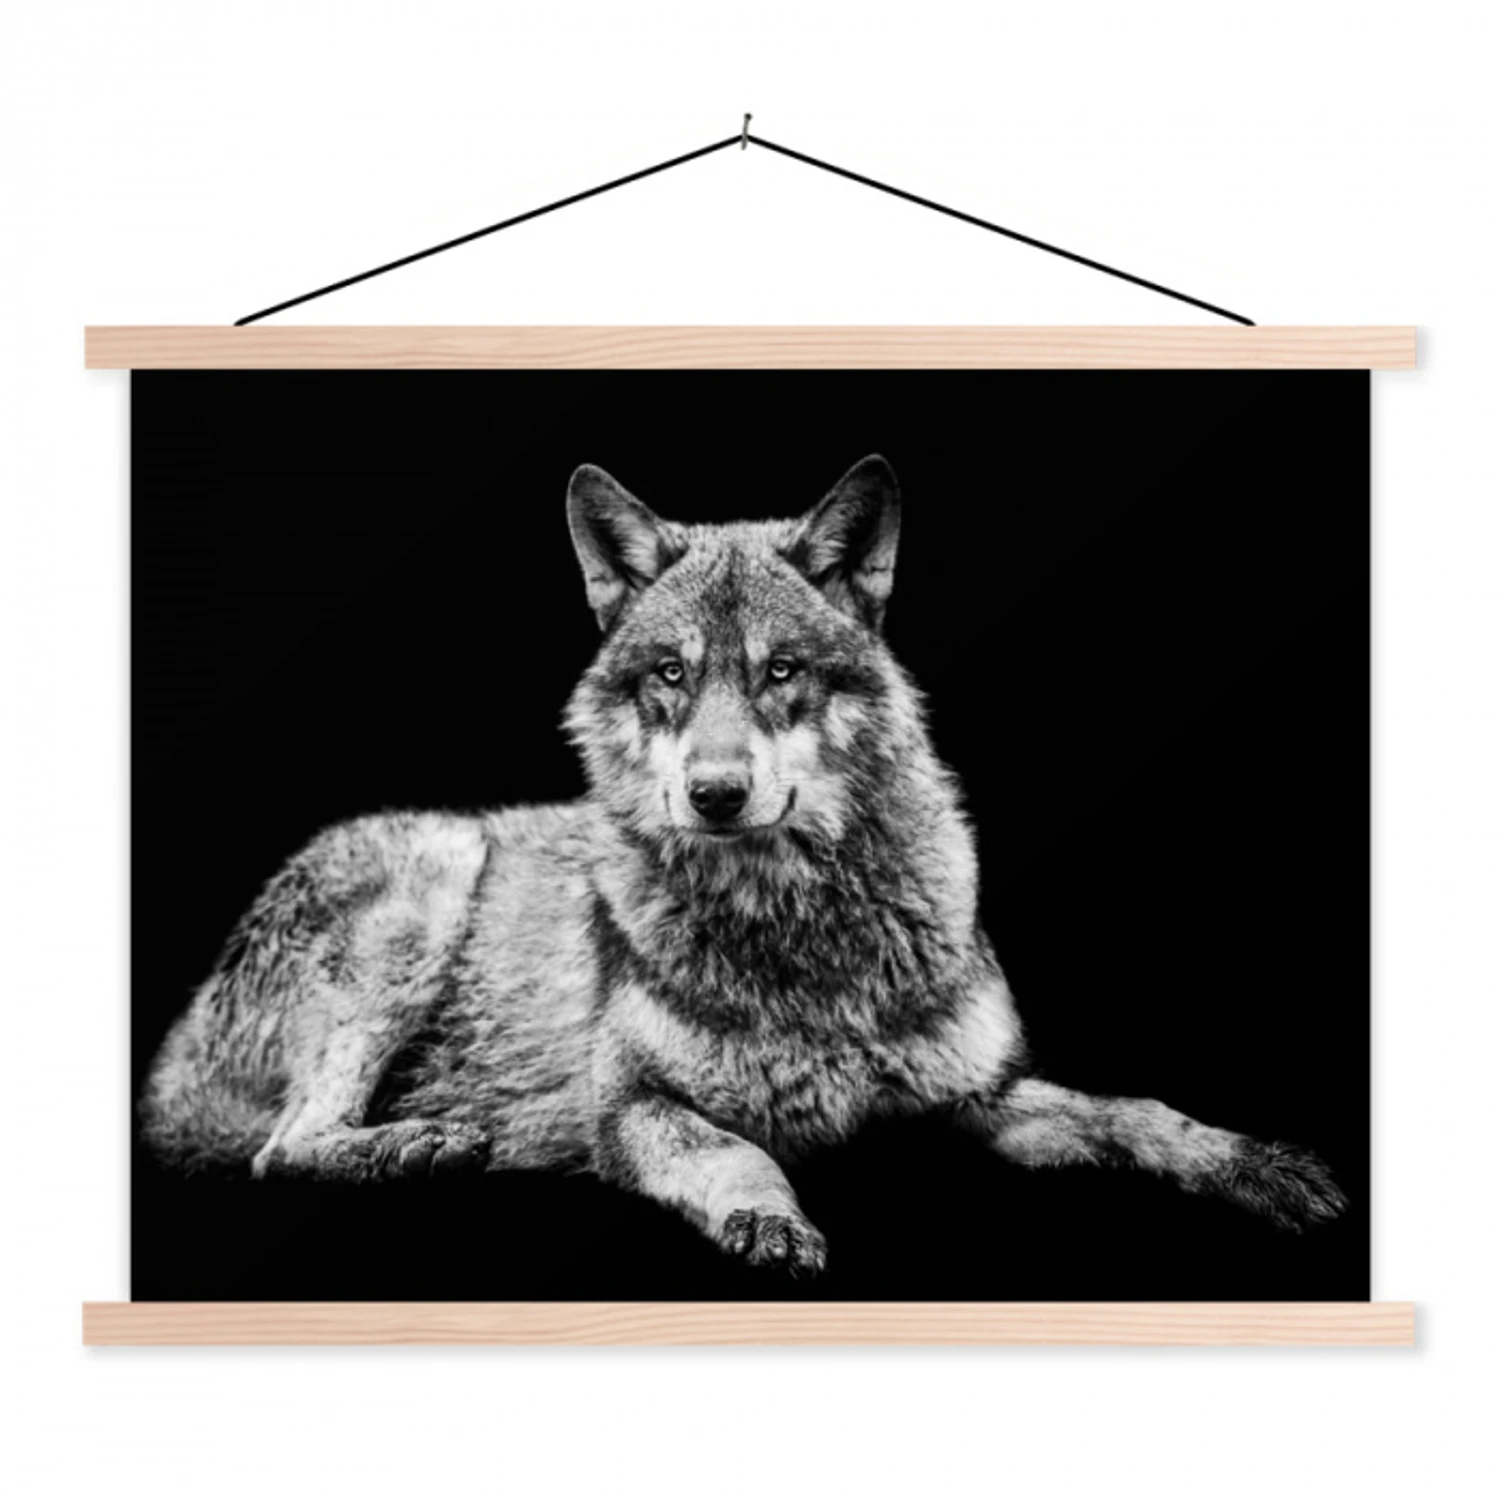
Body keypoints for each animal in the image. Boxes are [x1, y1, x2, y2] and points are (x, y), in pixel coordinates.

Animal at [141, 455, 1346, 1274]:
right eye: (672, 674)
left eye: (780, 672)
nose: (714, 794)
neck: (800, 934)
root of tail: (175, 1050)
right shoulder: (632, 1110)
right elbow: (736, 1154)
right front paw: (769, 1220)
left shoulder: (981, 1094)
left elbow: (1138, 1113)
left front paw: (1257, 1165)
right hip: (429, 882)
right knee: (280, 1149)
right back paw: (422, 1145)